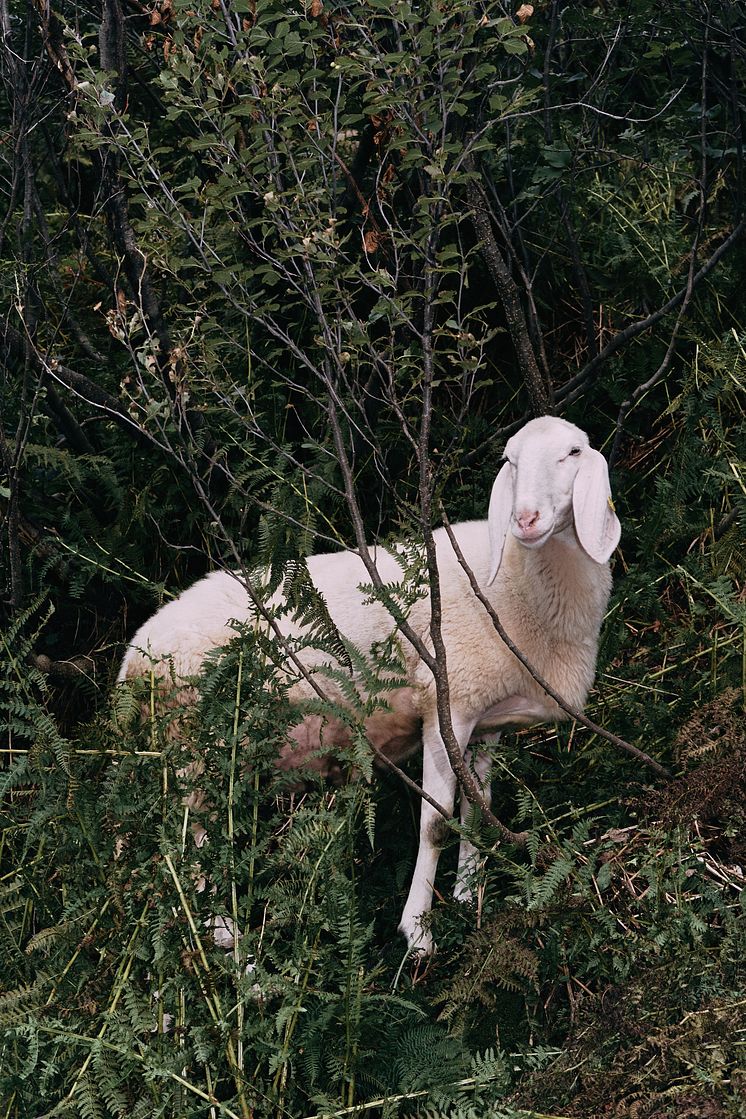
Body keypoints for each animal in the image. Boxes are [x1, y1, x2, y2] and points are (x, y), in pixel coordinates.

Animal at [117, 416, 617, 957]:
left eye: (573, 452)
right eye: (512, 461)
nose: (525, 519)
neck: (518, 587)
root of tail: (134, 656)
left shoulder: (486, 719)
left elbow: (477, 812)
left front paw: (468, 898)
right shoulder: (446, 708)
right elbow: (435, 824)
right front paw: (417, 932)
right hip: (196, 743)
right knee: (188, 840)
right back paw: (224, 935)